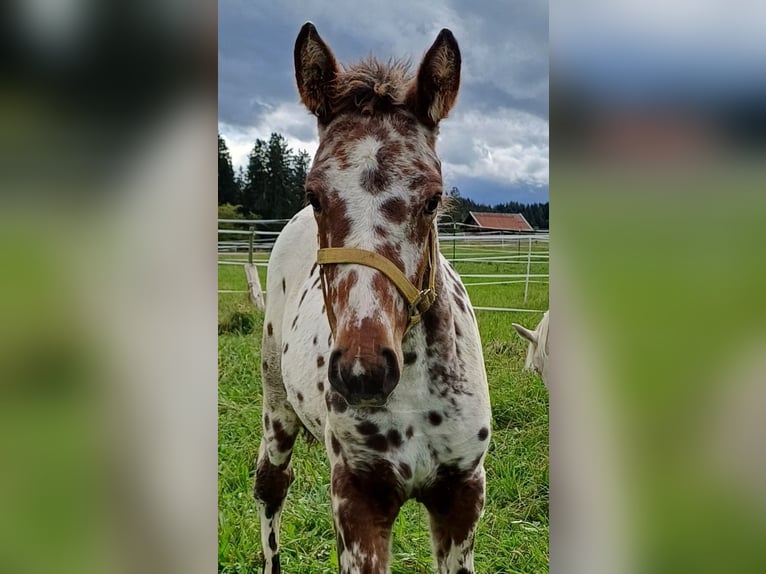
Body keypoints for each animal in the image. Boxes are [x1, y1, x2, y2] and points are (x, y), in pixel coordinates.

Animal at [254, 23, 492, 574]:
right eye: (314, 194)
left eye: (432, 199)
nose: (363, 372)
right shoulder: (358, 496)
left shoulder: (462, 495)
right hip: (276, 405)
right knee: (271, 487)